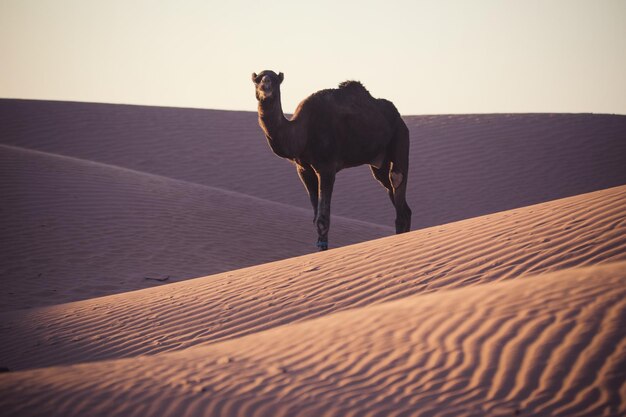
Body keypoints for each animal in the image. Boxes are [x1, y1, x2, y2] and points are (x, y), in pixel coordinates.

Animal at [251, 70, 412, 250]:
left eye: (275, 80)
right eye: (257, 80)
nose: (265, 86)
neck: (301, 131)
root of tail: (400, 118)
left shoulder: (326, 168)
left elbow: (322, 218)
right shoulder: (303, 169)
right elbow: (315, 215)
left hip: (400, 136)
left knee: (397, 180)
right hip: (380, 163)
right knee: (395, 194)